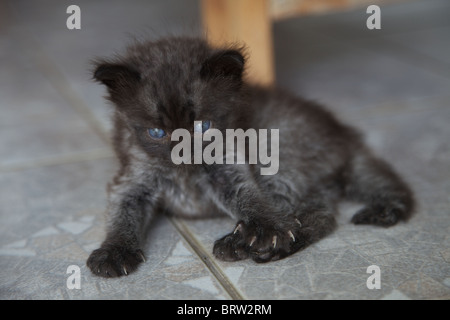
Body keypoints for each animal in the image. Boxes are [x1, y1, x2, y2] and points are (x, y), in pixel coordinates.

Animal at [86, 37, 414, 278]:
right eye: (156, 132)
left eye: (203, 126)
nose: (184, 154)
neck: (185, 175)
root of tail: (344, 136)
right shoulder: (131, 179)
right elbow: (121, 215)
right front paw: (115, 250)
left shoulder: (231, 167)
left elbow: (252, 199)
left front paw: (269, 229)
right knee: (321, 215)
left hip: (276, 154)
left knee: (305, 212)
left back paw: (244, 242)